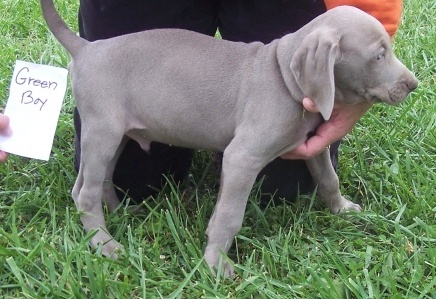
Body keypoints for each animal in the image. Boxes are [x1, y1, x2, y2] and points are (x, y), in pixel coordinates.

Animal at [40, 0, 416, 276]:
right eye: (378, 55)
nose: (413, 84)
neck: (283, 76)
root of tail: (86, 48)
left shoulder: (314, 143)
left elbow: (328, 177)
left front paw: (343, 210)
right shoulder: (242, 158)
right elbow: (229, 215)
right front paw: (216, 264)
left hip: (114, 134)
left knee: (95, 181)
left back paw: (119, 214)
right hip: (102, 130)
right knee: (84, 193)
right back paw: (104, 244)